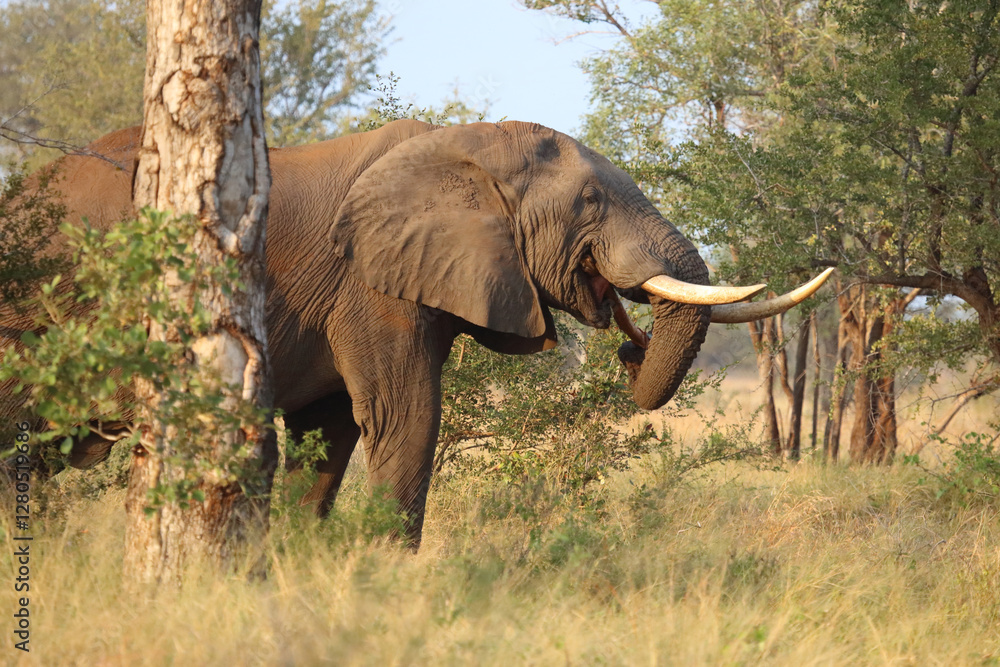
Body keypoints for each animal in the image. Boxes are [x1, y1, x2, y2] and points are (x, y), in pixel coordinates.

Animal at [1, 119, 829, 544]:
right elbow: (403, 417)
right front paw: (382, 569)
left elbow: (329, 432)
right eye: (591, 202)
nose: (631, 343)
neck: (466, 145)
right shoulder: (368, 280)